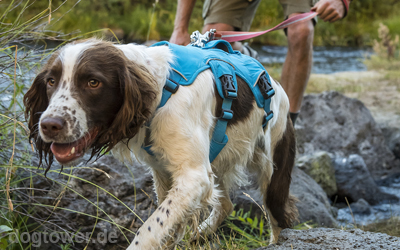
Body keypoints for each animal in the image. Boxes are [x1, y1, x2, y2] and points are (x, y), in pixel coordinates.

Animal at [22, 39, 296, 250]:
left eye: (93, 82)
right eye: (50, 81)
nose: (49, 125)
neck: (162, 90)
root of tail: (276, 84)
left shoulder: (193, 177)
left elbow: (150, 229)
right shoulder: (165, 174)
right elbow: (168, 223)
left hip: (274, 166)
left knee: (278, 218)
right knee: (226, 204)